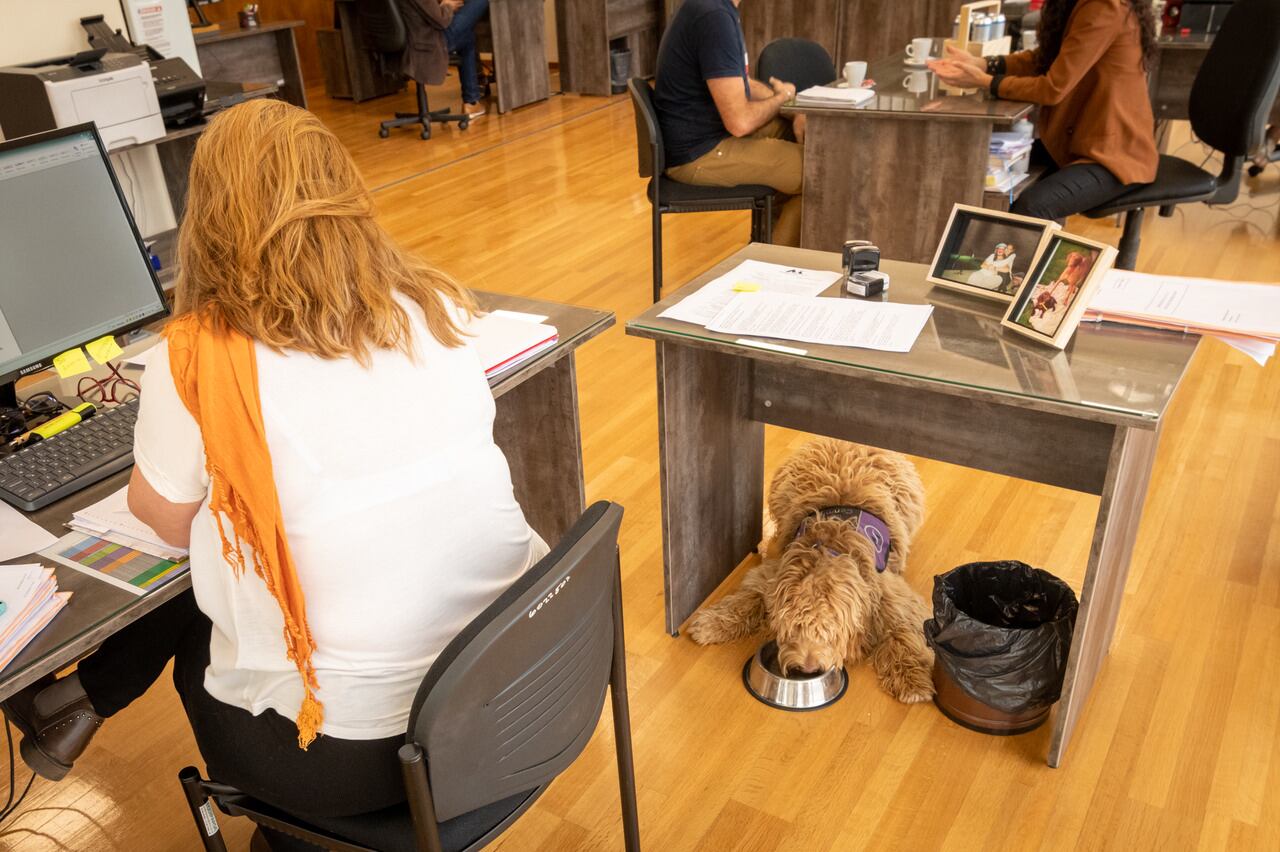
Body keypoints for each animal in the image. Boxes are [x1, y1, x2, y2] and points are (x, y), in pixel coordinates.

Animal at [691, 434, 931, 701]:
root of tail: (849, 441)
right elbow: (748, 598)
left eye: (829, 627)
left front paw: (912, 681)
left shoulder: (891, 597)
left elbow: (902, 633)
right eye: (793, 626)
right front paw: (712, 624)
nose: (808, 667)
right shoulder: (772, 575)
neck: (829, 547)